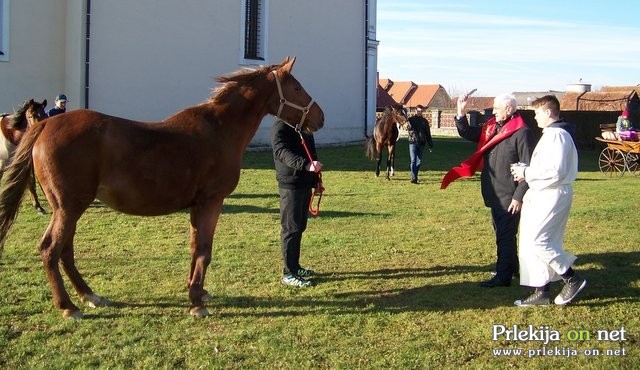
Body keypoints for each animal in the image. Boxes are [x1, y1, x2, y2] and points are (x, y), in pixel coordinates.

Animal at [0, 57, 322, 318]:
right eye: (296, 88)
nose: (320, 117)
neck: (219, 130)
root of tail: (44, 126)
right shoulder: (211, 201)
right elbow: (204, 250)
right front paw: (197, 303)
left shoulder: (196, 206)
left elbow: (194, 247)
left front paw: (196, 290)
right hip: (69, 207)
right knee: (50, 250)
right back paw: (68, 307)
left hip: (69, 208)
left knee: (65, 251)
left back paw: (90, 295)